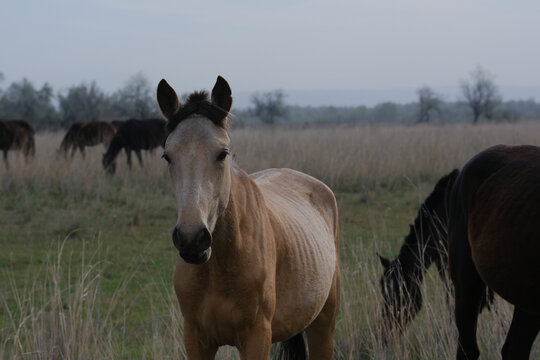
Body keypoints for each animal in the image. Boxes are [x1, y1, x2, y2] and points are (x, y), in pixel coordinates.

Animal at [157, 75, 342, 358]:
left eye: (222, 153)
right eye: (167, 156)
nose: (191, 239)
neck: (219, 266)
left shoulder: (256, 337)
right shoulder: (196, 339)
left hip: (323, 325)